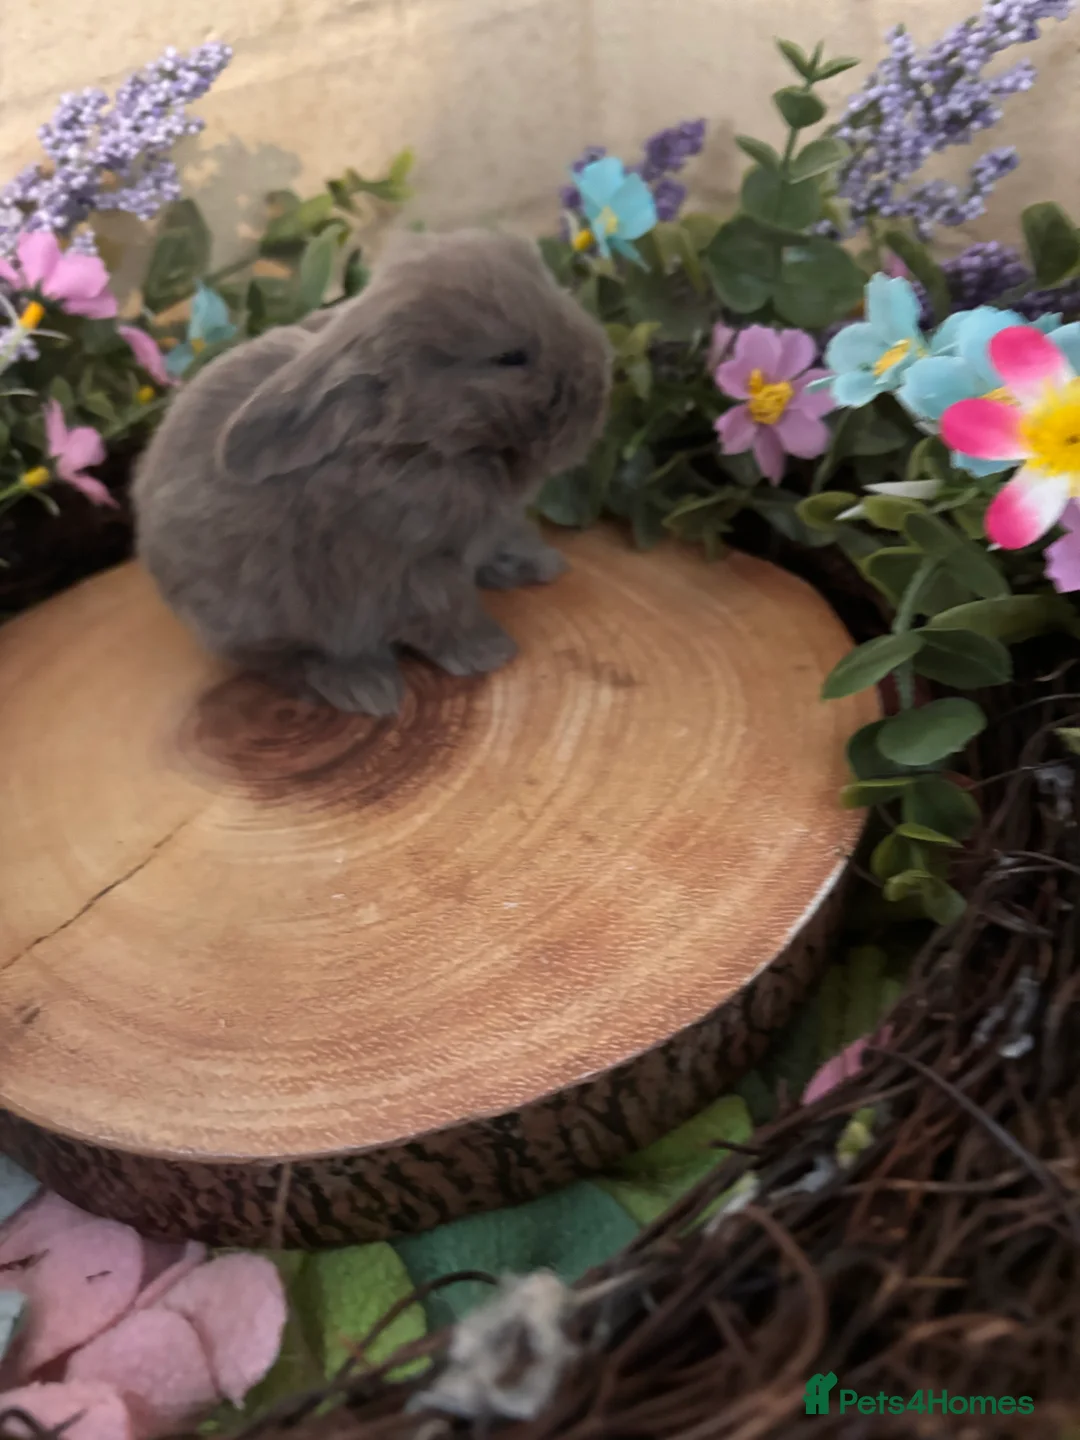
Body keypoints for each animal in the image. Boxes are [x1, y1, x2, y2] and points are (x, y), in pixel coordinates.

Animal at [132, 228, 612, 716]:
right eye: (510, 357)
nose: (600, 390)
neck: (423, 445)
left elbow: (501, 544)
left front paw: (543, 563)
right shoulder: (412, 570)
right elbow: (448, 614)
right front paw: (492, 652)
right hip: (261, 618)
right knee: (284, 659)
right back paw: (365, 686)